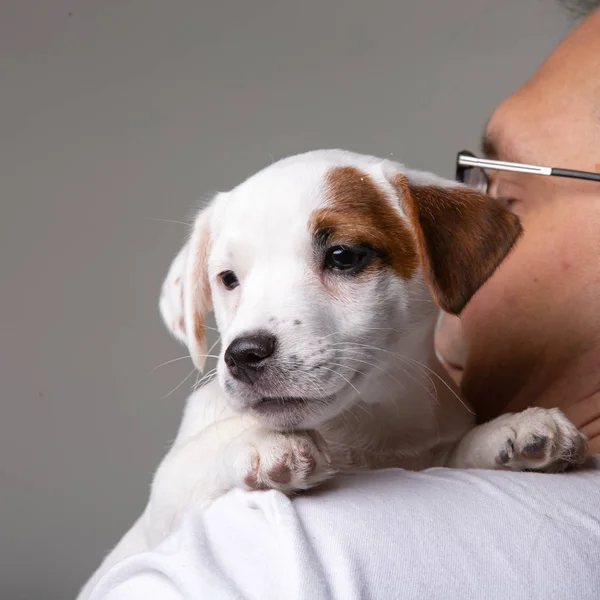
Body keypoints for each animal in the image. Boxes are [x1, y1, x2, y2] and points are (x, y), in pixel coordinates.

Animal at [76, 150, 584, 600]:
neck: (363, 429)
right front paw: (260, 441)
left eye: (342, 256)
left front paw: (512, 430)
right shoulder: (160, 514)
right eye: (227, 279)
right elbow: (189, 464)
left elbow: (454, 451)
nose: (244, 354)